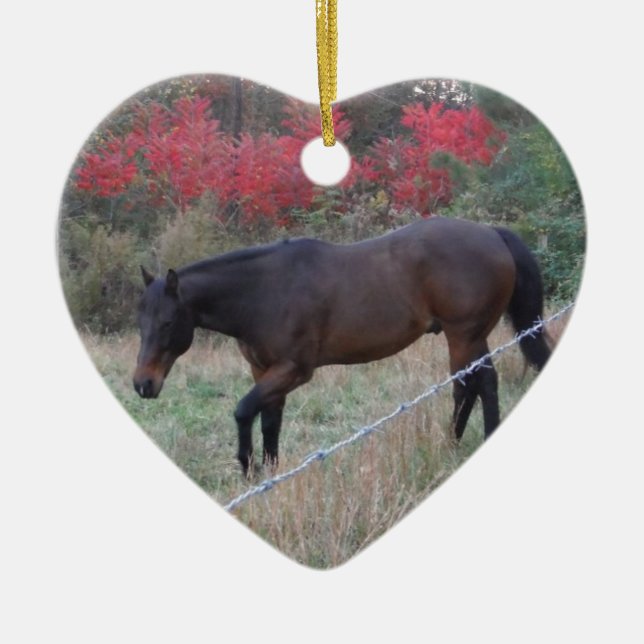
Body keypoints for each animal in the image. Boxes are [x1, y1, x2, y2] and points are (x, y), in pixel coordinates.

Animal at [133, 216, 550, 477]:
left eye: (167, 323)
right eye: (140, 323)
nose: (143, 384)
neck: (265, 291)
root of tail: (492, 234)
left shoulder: (294, 370)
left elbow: (243, 411)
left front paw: (248, 468)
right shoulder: (265, 371)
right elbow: (269, 421)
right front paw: (269, 475)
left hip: (463, 335)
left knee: (474, 386)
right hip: (468, 337)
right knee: (475, 385)